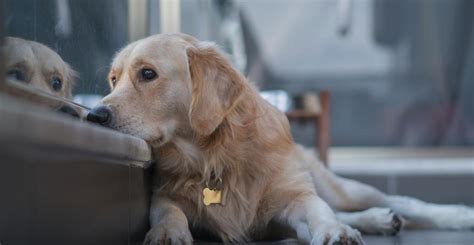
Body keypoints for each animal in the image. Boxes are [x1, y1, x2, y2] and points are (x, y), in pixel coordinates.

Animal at [87, 33, 474, 244]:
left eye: (147, 74)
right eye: (113, 80)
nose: (94, 116)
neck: (215, 157)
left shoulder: (294, 198)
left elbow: (319, 212)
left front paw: (334, 232)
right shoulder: (165, 195)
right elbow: (168, 213)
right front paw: (168, 232)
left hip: (338, 186)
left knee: (396, 200)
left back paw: (453, 215)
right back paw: (379, 219)